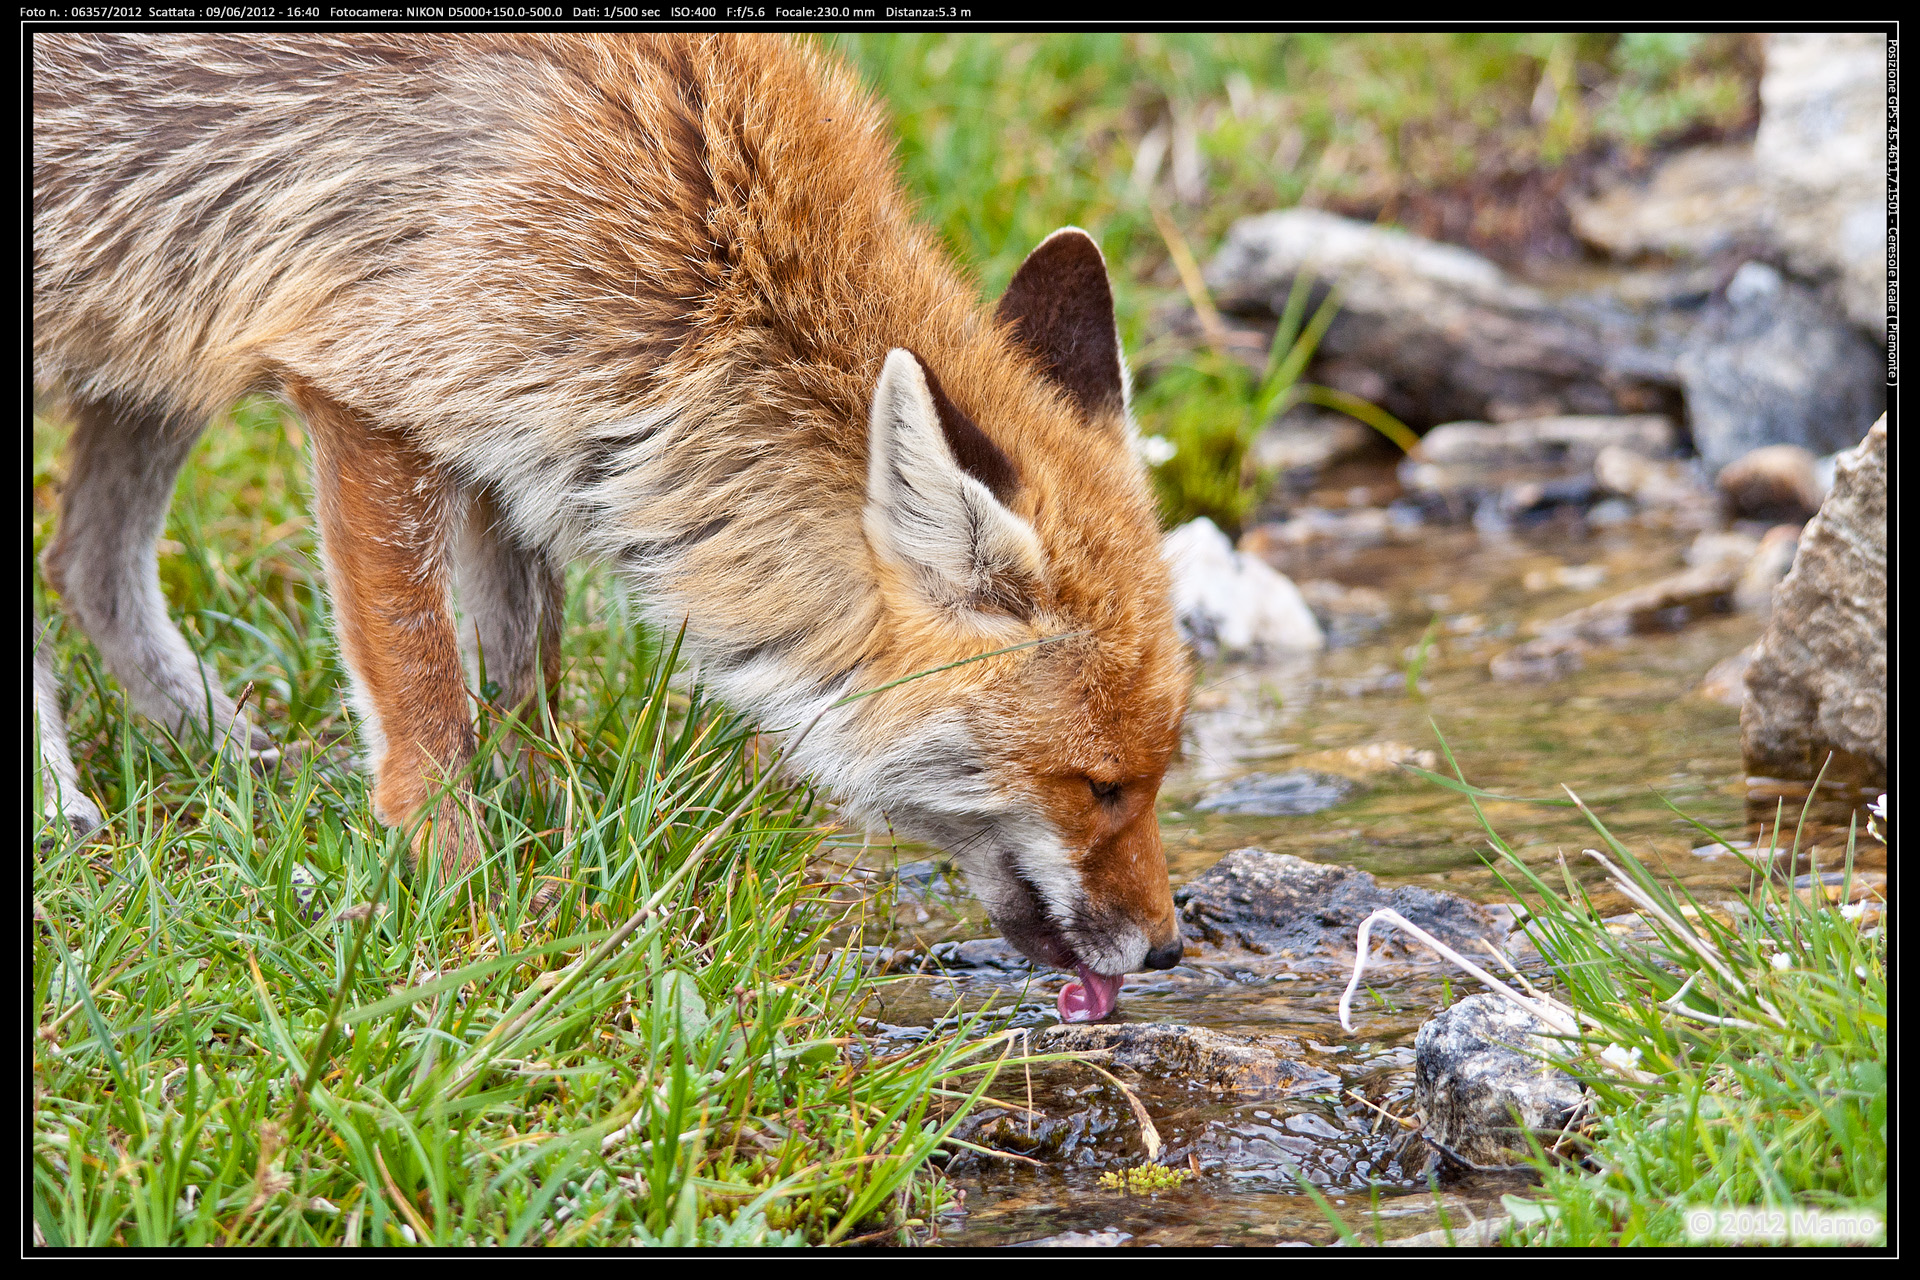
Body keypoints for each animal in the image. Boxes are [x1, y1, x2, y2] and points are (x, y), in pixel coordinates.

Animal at [32, 32, 1190, 1020]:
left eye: (1159, 773)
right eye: (1099, 786)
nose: (1170, 949)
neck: (705, 248)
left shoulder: (509, 439)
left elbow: (524, 682)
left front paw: (550, 843)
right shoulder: (372, 395)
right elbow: (428, 702)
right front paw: (462, 902)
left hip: (156, 327)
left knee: (85, 564)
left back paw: (222, 755)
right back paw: (59, 802)